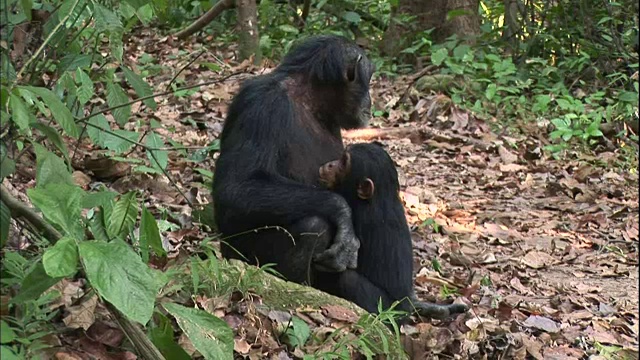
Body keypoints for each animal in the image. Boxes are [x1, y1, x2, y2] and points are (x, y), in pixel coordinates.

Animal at [212, 36, 370, 284]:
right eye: (369, 79)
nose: (371, 99)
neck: (309, 100)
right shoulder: (262, 106)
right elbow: (236, 187)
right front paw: (344, 217)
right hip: (241, 256)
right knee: (314, 226)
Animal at [316, 143, 470, 320]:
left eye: (343, 162)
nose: (330, 164)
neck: (377, 198)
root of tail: (405, 308)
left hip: (387, 309)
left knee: (347, 279)